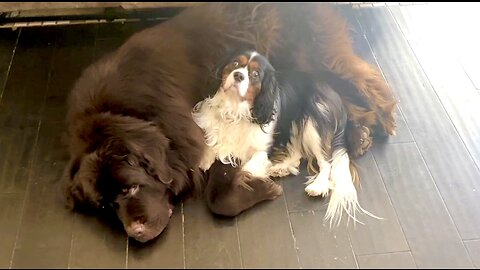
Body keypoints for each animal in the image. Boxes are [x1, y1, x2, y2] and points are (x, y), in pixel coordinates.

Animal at [62, 2, 396, 243]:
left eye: (131, 188)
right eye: (104, 206)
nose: (136, 233)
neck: (125, 113)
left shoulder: (199, 140)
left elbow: (219, 197)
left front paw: (260, 189)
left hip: (317, 53)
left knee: (363, 82)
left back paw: (379, 123)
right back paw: (360, 135)